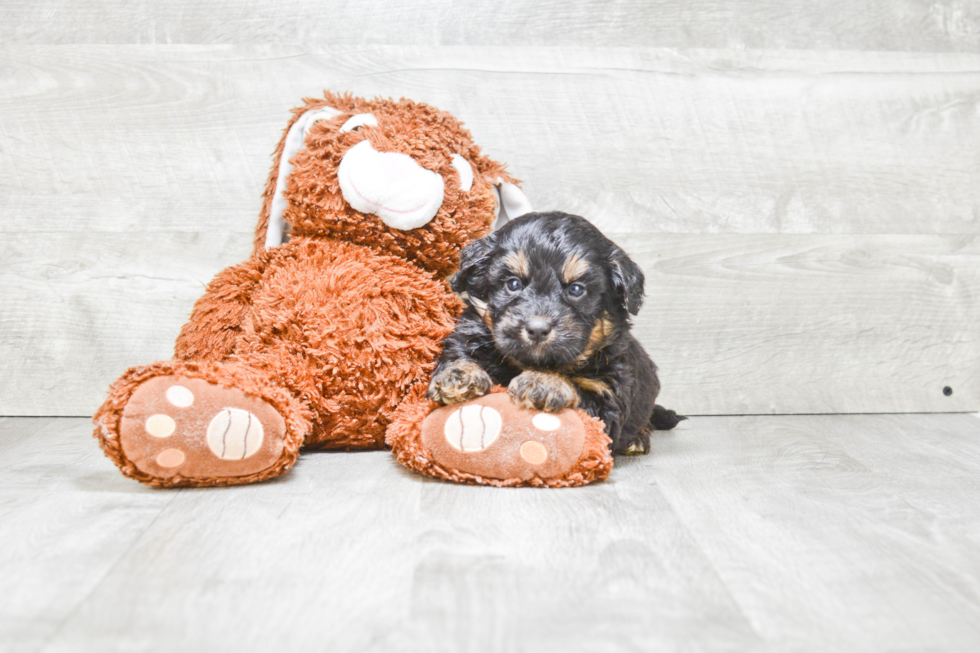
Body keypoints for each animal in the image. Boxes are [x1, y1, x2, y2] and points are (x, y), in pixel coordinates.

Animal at [424, 210, 684, 454]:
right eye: (513, 284)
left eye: (577, 289)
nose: (537, 329)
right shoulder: (468, 337)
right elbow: (459, 356)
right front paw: (459, 375)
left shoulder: (608, 396)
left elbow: (580, 393)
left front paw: (545, 382)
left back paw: (639, 437)